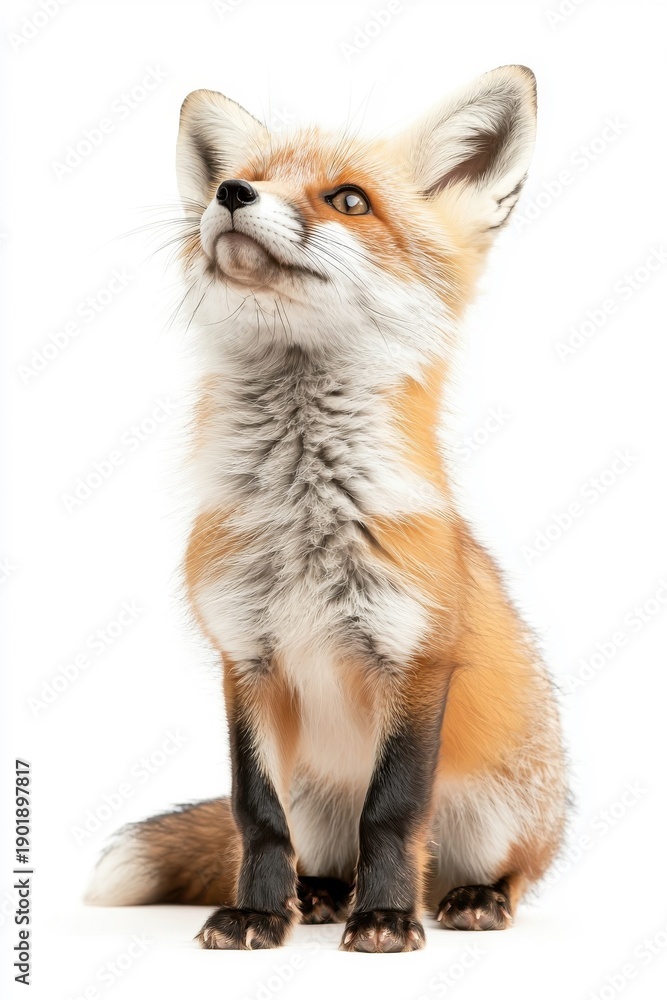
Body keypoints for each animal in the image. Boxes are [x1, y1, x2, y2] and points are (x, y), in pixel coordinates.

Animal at [86, 65, 568, 953]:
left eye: (349, 200)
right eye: (239, 178)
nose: (230, 192)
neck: (305, 517)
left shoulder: (414, 657)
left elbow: (394, 811)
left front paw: (385, 920)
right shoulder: (244, 658)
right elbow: (254, 815)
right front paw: (255, 914)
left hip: (500, 812)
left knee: (503, 868)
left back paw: (464, 898)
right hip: (317, 802)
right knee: (313, 849)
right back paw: (315, 895)